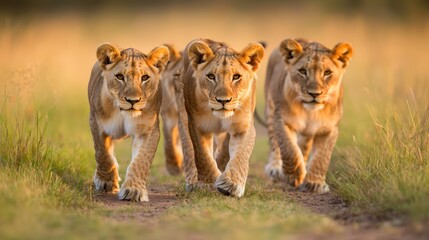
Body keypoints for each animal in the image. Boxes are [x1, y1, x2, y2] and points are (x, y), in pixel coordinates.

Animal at [88, 42, 169, 202]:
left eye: (144, 77)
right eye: (120, 77)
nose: (133, 101)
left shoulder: (148, 130)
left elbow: (141, 160)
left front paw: (134, 191)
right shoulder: (96, 123)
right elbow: (102, 153)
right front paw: (106, 181)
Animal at [174, 39, 264, 197]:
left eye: (236, 77)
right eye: (211, 76)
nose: (223, 100)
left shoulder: (243, 126)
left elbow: (241, 155)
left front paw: (231, 184)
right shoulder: (197, 125)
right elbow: (202, 156)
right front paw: (209, 183)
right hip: (183, 117)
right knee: (189, 151)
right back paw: (192, 182)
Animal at [264, 39, 352, 193]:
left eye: (327, 73)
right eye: (302, 71)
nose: (314, 94)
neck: (311, 112)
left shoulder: (330, 128)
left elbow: (322, 157)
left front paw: (314, 183)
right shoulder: (282, 120)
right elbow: (289, 149)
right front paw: (294, 175)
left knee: (303, 147)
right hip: (270, 110)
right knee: (275, 143)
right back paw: (275, 168)